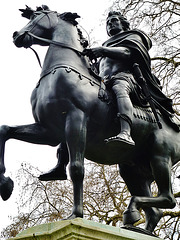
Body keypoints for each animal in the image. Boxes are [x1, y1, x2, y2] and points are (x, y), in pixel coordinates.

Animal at [0, 5, 179, 234]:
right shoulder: (48, 131)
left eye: (37, 16)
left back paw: (131, 210)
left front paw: (76, 214)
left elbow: (77, 168)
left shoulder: (76, 119)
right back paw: (138, 226)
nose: (17, 35)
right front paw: (5, 184)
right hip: (132, 167)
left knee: (168, 198)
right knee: (156, 209)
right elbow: (5, 130)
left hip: (160, 158)